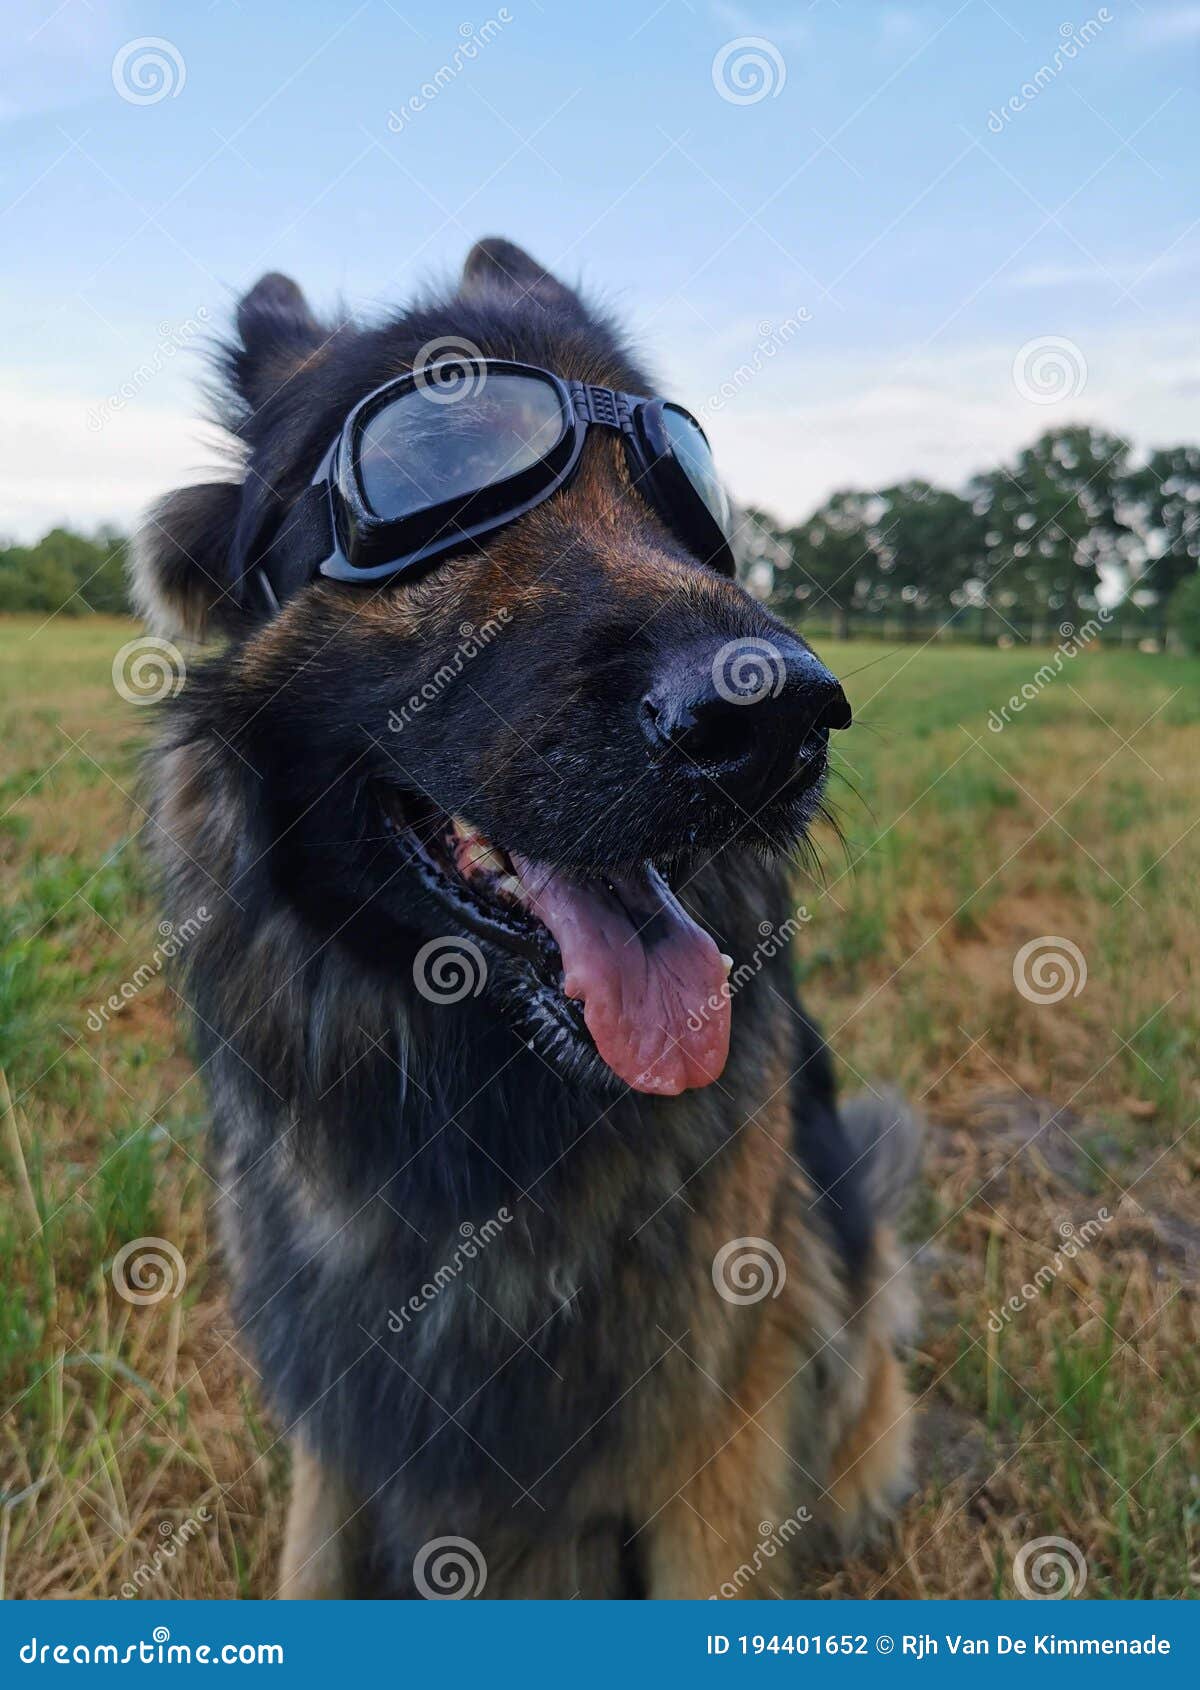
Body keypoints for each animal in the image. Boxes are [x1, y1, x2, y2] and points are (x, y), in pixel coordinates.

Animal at [134, 238, 919, 1595]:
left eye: (684, 499)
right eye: (436, 478)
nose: (779, 718)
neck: (472, 1089)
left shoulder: (717, 1416)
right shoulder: (343, 1410)